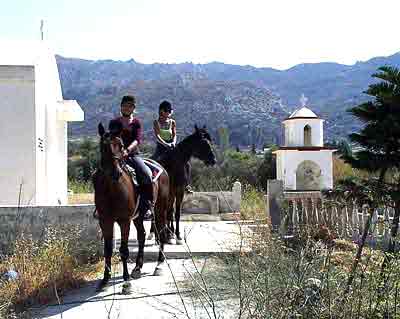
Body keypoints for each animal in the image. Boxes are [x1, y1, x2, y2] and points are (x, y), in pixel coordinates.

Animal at [93, 124, 170, 294]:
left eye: (121, 145)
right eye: (103, 146)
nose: (115, 173)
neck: (112, 189)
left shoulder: (124, 221)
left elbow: (124, 250)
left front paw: (126, 282)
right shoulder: (105, 221)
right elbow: (108, 249)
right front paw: (105, 280)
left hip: (159, 209)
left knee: (161, 233)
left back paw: (159, 265)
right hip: (138, 216)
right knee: (141, 235)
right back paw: (137, 268)